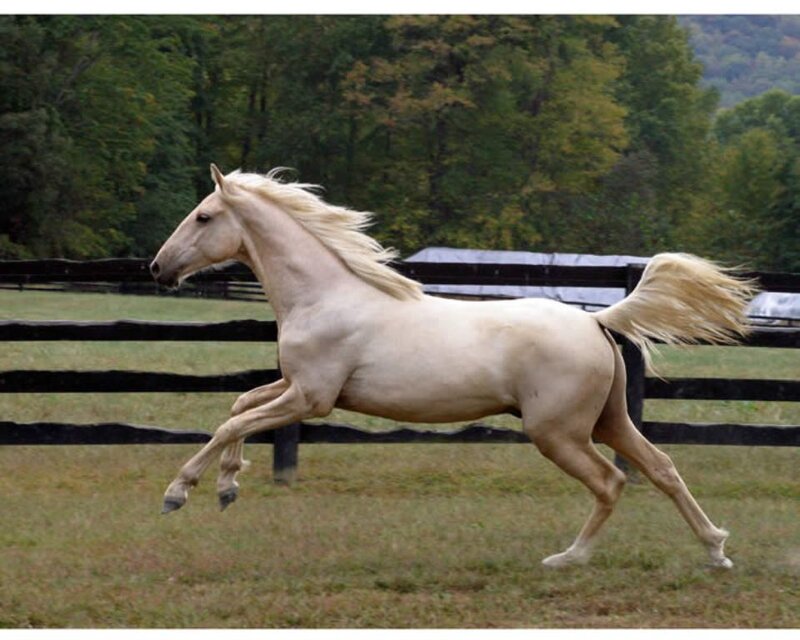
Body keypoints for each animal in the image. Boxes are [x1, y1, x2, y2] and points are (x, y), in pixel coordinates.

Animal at [150, 164, 756, 569]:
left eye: (204, 216)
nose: (158, 268)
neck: (324, 296)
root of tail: (596, 321)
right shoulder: (295, 386)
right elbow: (240, 406)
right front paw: (228, 485)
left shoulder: (310, 398)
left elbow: (231, 420)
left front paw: (180, 493)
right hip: (609, 421)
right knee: (661, 468)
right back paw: (716, 550)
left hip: (558, 432)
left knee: (611, 481)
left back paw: (568, 558)